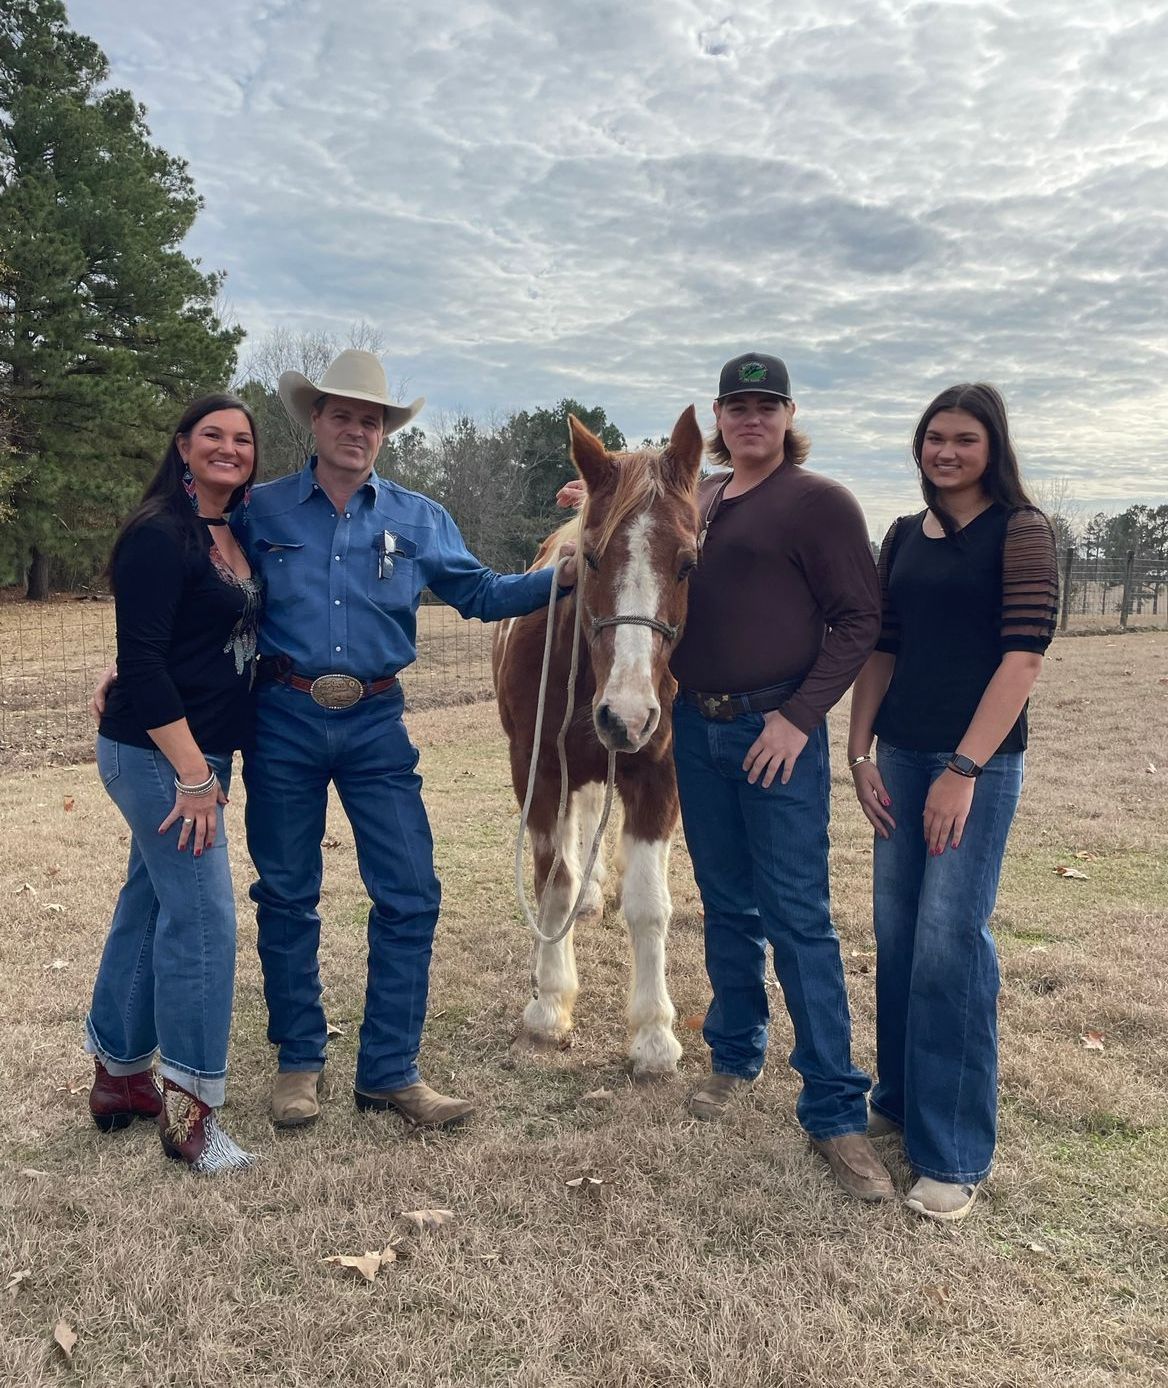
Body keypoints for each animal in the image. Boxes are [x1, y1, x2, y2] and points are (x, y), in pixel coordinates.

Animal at [491, 402, 702, 1071]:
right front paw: (550, 1004)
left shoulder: (660, 775)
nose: (626, 715)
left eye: (688, 563)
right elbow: (552, 884)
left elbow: (649, 905)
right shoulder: (537, 770)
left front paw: (654, 1033)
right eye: (589, 557)